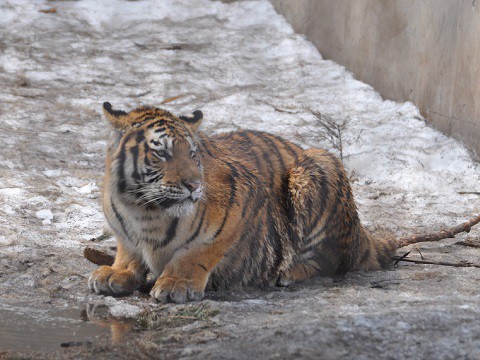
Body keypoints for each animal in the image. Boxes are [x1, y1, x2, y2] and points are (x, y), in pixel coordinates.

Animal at [87, 102, 398, 304]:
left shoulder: (239, 202)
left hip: (317, 165)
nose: (194, 185)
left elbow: (197, 252)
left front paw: (178, 284)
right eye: (161, 153)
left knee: (330, 261)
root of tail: (361, 233)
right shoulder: (126, 230)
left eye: (192, 154)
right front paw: (118, 272)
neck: (145, 210)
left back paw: (288, 272)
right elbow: (129, 249)